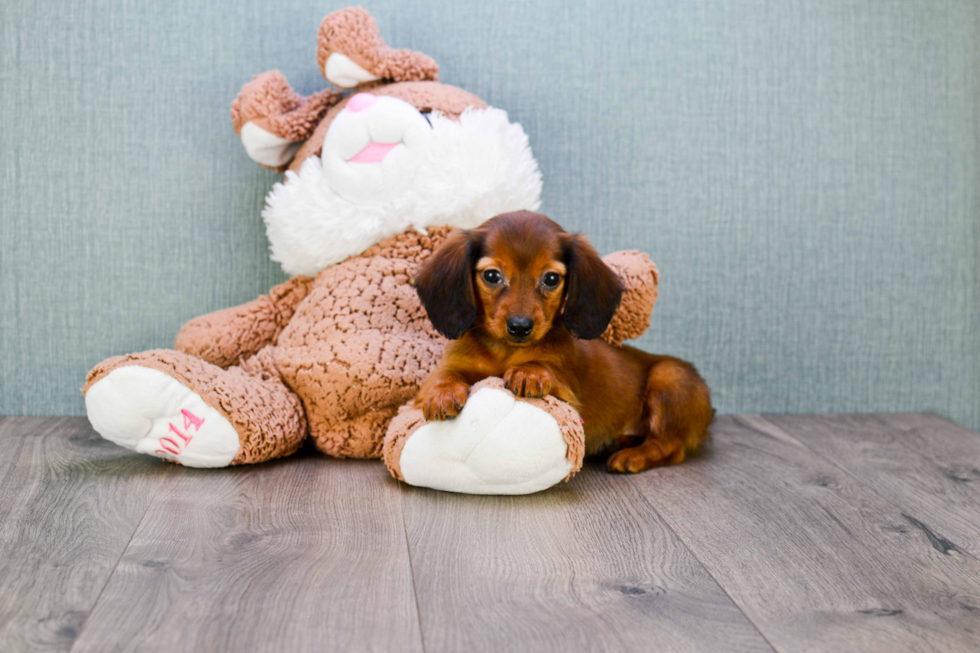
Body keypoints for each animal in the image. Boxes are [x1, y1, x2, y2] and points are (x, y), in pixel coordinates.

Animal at [414, 211, 712, 472]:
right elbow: (443, 375)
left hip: (670, 377)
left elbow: (544, 367)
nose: (520, 327)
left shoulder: (565, 385)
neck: (505, 352)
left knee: (669, 446)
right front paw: (442, 393)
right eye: (491, 275)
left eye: (551, 278)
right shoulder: (454, 363)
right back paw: (616, 443)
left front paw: (529, 373)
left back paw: (632, 456)